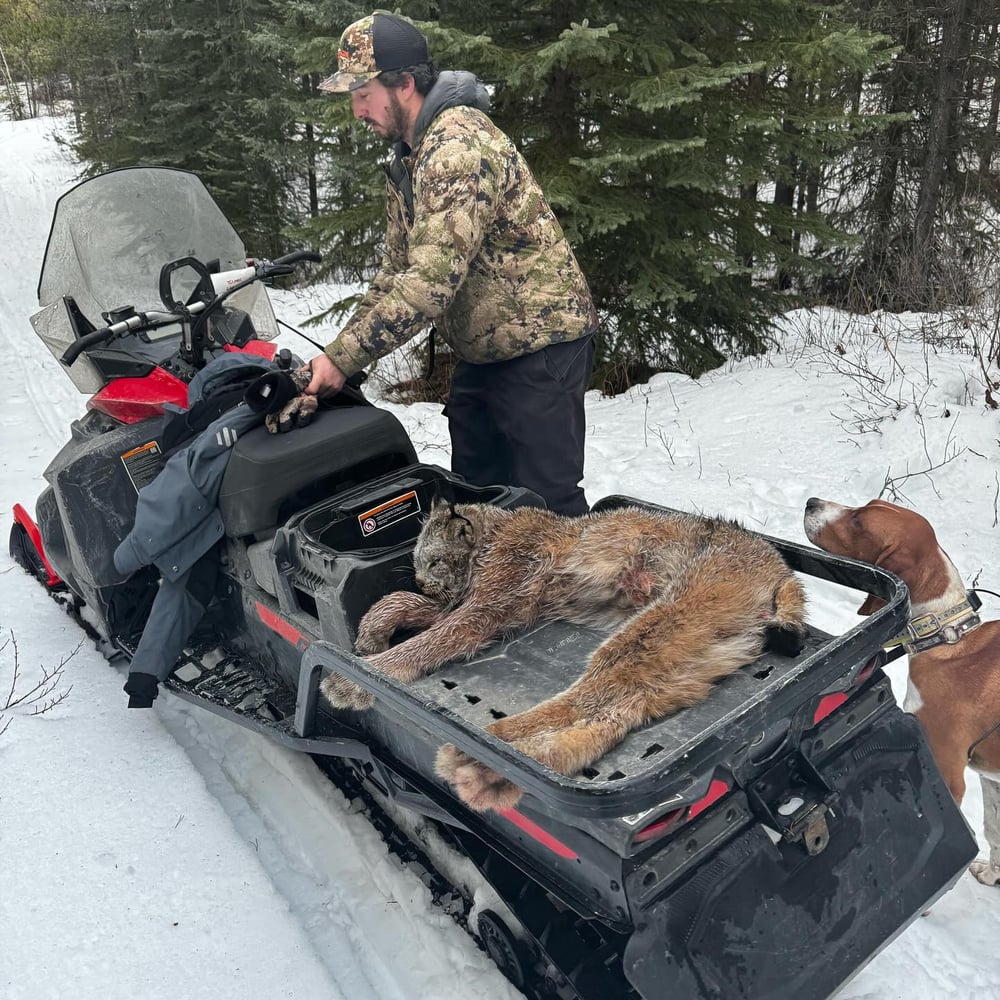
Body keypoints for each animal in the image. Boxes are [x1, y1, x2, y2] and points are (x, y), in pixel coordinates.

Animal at [804, 496, 1000, 888]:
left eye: (859, 521)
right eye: (865, 506)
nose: (811, 502)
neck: (948, 637)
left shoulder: (946, 771)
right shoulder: (991, 780)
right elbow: (993, 831)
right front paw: (990, 875)